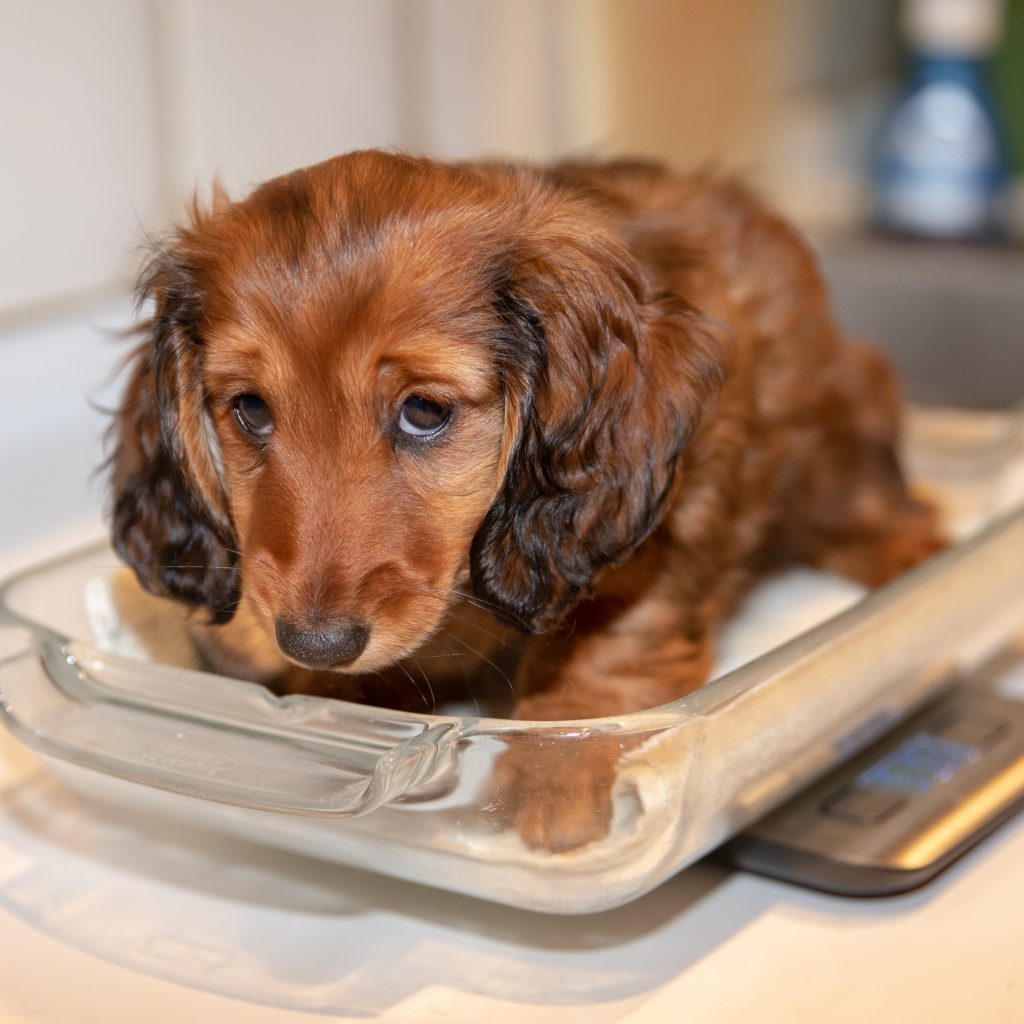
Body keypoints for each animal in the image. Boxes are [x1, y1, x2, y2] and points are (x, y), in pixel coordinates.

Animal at [110, 153, 942, 847]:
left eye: (424, 411)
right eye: (250, 409)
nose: (315, 643)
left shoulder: (660, 513)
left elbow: (612, 638)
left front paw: (557, 768)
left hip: (831, 445)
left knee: (886, 508)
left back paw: (911, 557)